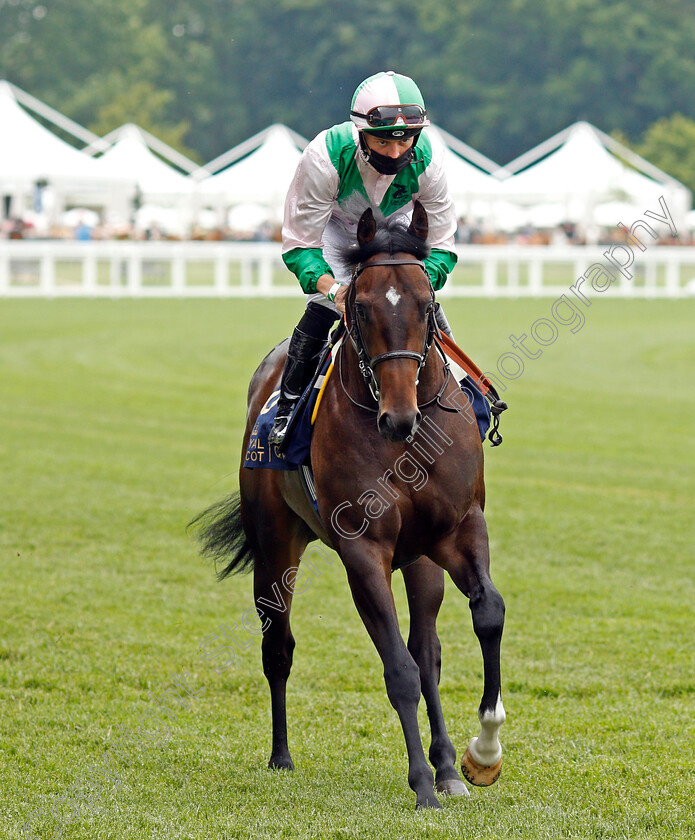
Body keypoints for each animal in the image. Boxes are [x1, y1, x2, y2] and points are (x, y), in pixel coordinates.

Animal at [193, 200, 508, 812]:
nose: (398, 417)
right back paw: (282, 755)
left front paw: (481, 755)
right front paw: (421, 785)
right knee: (279, 647)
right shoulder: (364, 550)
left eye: (426, 305)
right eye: (360, 307)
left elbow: (486, 615)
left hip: (422, 559)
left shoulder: (460, 528)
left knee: (429, 650)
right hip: (275, 544)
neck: (407, 443)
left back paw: (448, 766)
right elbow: (398, 670)